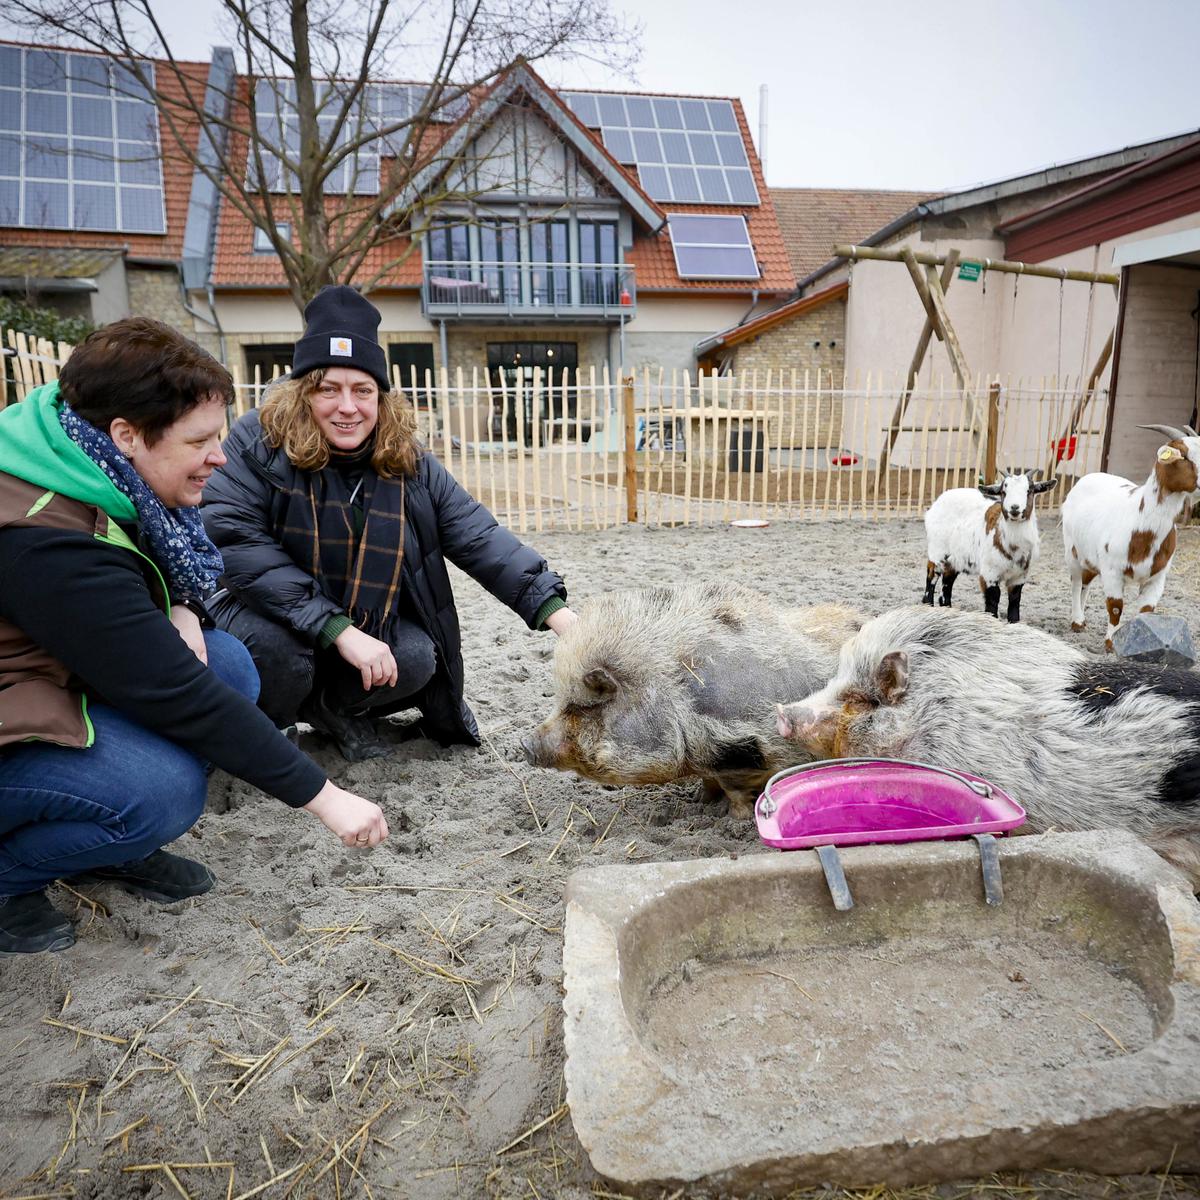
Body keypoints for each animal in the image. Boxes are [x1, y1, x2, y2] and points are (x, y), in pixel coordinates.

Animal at [523, 580, 864, 816]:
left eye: (583, 707)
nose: (525, 743)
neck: (675, 702)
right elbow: (709, 783)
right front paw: (699, 801)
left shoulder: (740, 750)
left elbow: (735, 790)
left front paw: (734, 818)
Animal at [921, 470, 1056, 624]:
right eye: (1004, 491)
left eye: (1029, 490)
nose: (1014, 508)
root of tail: (938, 501)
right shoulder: (989, 573)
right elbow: (992, 602)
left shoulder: (1019, 576)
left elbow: (1014, 603)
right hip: (937, 552)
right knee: (931, 578)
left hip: (955, 559)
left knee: (947, 584)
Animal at [1065, 420, 1195, 648]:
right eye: (1186, 456)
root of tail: (1088, 477)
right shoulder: (1112, 570)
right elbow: (1115, 607)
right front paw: (1111, 643)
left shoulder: (1158, 576)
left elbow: (1146, 611)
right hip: (1072, 550)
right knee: (1076, 582)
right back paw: (1077, 621)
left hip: (1091, 557)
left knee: (1086, 582)